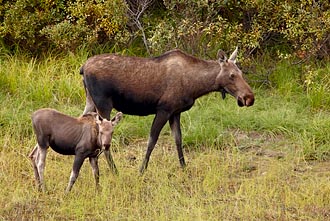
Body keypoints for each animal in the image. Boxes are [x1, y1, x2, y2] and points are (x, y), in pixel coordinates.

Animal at [80, 47, 255, 174]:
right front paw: (142, 170)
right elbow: (152, 141)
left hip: (91, 102)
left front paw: (184, 167)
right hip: (103, 103)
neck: (196, 86)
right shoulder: (164, 109)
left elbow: (178, 139)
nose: (249, 98)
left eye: (241, 72)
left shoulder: (175, 112)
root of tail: (83, 68)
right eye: (232, 75)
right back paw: (115, 171)